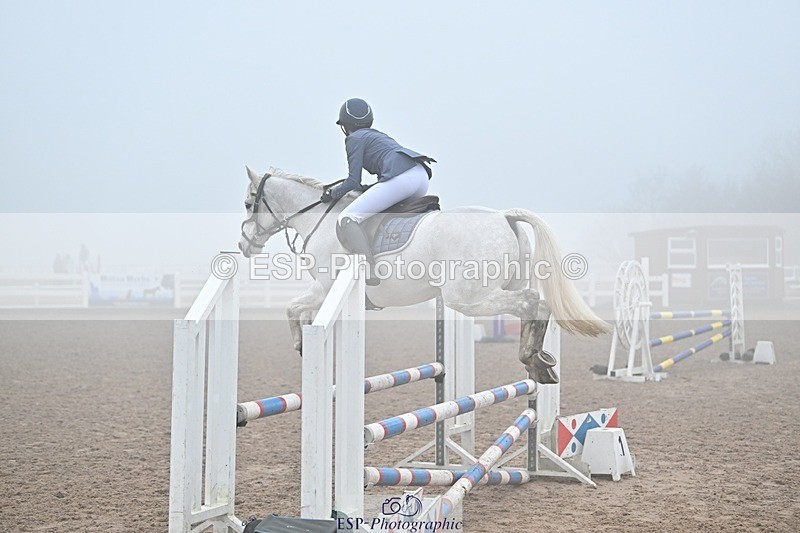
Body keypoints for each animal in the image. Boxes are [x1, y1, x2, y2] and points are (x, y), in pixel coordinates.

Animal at [237, 166, 610, 383]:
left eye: (247, 204)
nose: (244, 244)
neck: (322, 218)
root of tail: (504, 216)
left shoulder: (327, 287)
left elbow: (292, 307)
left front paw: (302, 344)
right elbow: (295, 307)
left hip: (467, 297)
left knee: (534, 303)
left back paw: (532, 358)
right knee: (532, 307)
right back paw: (538, 364)